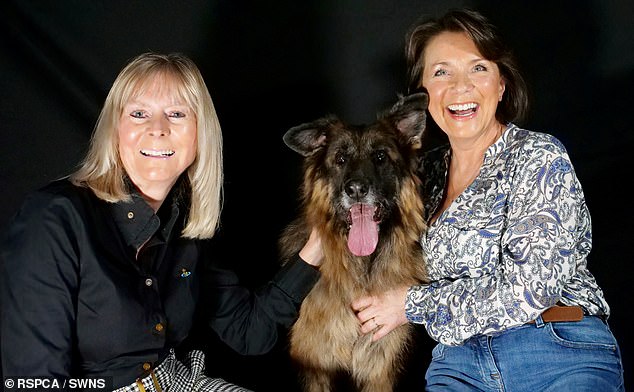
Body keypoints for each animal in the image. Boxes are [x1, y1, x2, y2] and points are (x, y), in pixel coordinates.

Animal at [278, 92, 428, 392]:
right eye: (341, 158)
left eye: (380, 156)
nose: (357, 189)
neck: (361, 267)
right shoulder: (315, 370)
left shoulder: (379, 372)